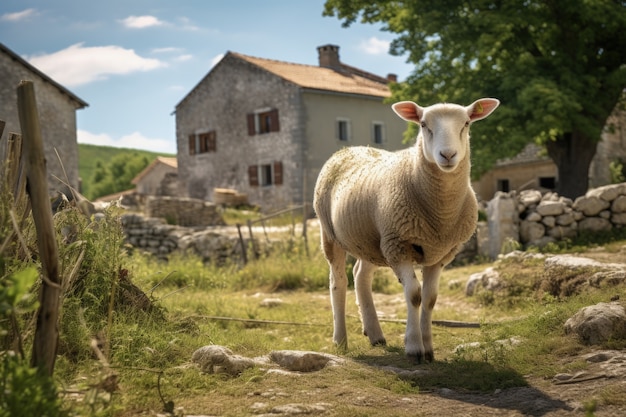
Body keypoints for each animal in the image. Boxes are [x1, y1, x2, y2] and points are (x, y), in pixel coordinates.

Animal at [310, 97, 498, 360]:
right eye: (423, 124)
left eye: (467, 123)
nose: (447, 154)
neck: (439, 213)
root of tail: (347, 149)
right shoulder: (399, 246)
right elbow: (414, 295)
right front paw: (414, 347)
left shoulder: (439, 254)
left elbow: (430, 299)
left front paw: (428, 349)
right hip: (332, 234)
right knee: (338, 282)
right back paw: (340, 340)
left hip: (373, 240)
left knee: (361, 275)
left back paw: (375, 334)